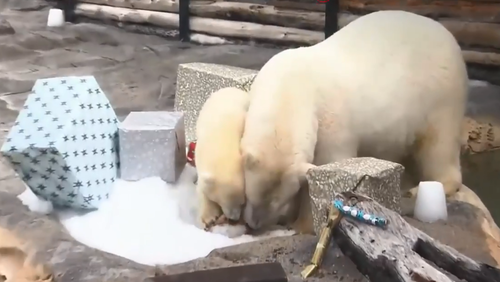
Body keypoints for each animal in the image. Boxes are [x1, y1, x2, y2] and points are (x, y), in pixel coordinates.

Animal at [242, 10, 468, 231]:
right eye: (251, 195)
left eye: (277, 201)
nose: (254, 224)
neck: (291, 87)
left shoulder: (331, 123)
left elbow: (324, 169)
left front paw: (301, 223)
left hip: (440, 96)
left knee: (439, 146)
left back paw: (418, 190)